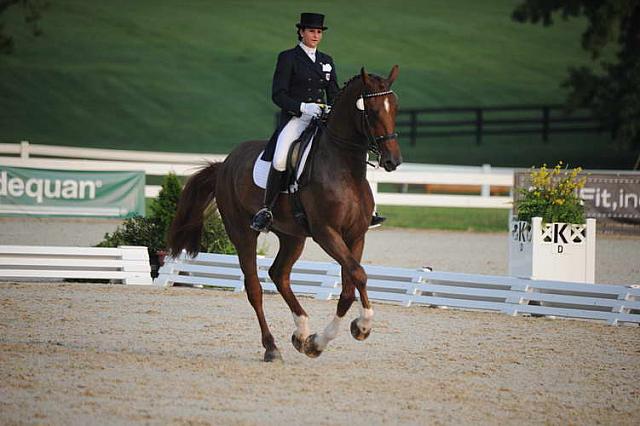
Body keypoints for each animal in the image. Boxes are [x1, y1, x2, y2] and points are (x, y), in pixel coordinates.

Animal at [168, 65, 402, 362]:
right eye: (371, 110)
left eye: (395, 107)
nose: (393, 161)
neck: (344, 170)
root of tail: (225, 163)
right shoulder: (326, 233)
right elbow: (358, 275)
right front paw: (362, 326)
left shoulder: (356, 235)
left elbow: (350, 286)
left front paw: (317, 342)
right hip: (242, 232)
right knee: (254, 287)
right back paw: (271, 347)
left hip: (292, 236)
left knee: (279, 274)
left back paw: (301, 331)